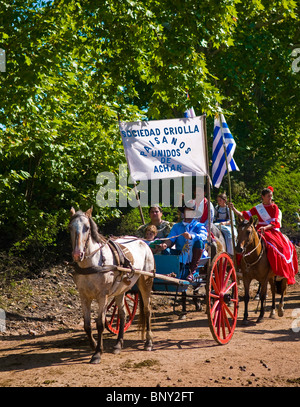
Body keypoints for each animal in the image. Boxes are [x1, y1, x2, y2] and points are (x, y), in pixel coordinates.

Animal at [69, 209, 154, 364]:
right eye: (70, 227)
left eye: (87, 228)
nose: (78, 254)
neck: (92, 263)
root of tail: (143, 242)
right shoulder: (84, 296)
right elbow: (87, 325)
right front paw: (94, 345)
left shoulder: (102, 296)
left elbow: (100, 324)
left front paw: (97, 353)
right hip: (121, 290)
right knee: (123, 314)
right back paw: (118, 344)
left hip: (146, 281)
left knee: (147, 310)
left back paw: (148, 342)